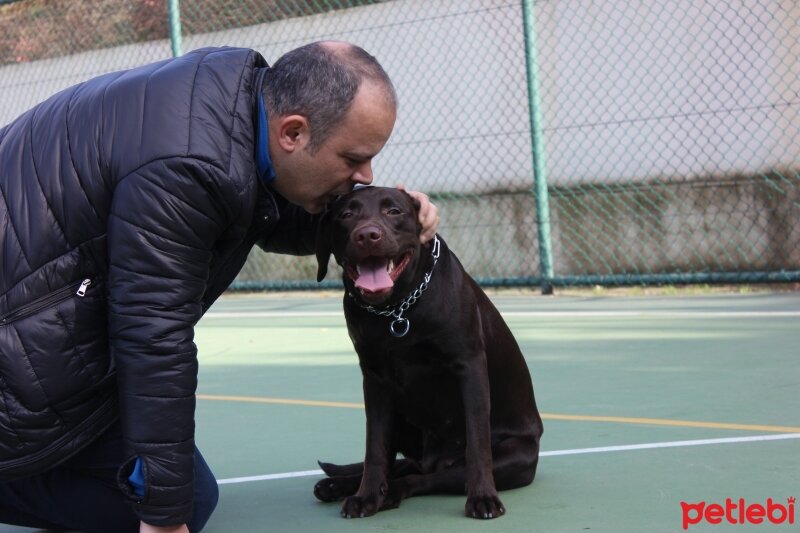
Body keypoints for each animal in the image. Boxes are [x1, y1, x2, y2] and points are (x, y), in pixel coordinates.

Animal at [312, 185, 544, 516]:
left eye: (394, 211)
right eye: (346, 214)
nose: (368, 235)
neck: (397, 310)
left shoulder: (469, 365)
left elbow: (477, 443)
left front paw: (483, 497)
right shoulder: (375, 380)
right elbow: (375, 449)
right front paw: (366, 496)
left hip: (514, 458)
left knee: (426, 477)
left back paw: (390, 493)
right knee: (403, 466)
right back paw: (341, 486)